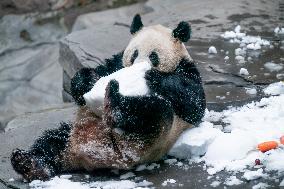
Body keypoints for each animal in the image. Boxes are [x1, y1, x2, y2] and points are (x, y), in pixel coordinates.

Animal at [10, 14, 205, 181]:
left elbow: (193, 103)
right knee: (52, 141)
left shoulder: (185, 69)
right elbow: (99, 71)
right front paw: (87, 81)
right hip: (73, 132)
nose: (139, 65)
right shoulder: (117, 62)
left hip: (148, 142)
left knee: (154, 112)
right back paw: (29, 163)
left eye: (153, 56)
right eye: (134, 54)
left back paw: (115, 105)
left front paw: (152, 76)